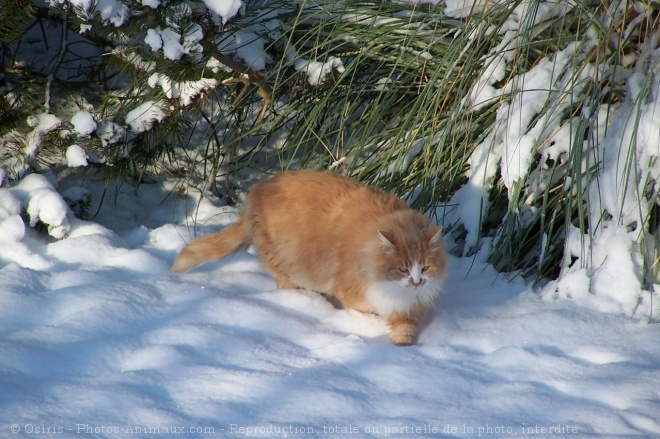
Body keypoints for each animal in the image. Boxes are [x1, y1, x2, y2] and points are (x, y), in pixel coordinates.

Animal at [170, 172, 448, 348]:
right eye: (402, 268)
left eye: (425, 267)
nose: (417, 282)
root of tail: (258, 190)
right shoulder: (359, 294)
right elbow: (367, 312)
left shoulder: (411, 306)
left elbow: (404, 329)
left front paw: (404, 349)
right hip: (287, 264)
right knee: (286, 285)